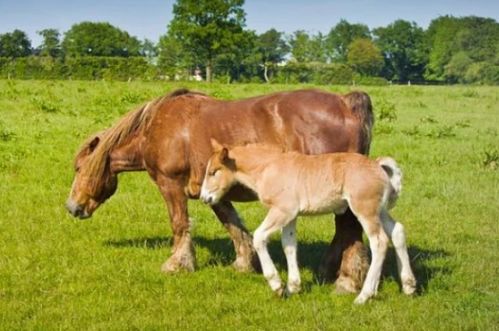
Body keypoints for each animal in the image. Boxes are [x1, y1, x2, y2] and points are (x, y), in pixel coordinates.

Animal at [64, 88, 374, 294]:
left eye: (78, 168)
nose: (72, 207)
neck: (158, 128)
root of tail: (344, 103)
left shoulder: (170, 184)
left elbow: (179, 223)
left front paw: (177, 264)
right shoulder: (214, 192)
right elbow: (233, 225)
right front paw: (244, 263)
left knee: (349, 228)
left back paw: (347, 281)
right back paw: (329, 270)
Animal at [200, 141, 418, 304]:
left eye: (214, 171)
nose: (204, 198)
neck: (269, 167)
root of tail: (377, 165)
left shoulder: (282, 210)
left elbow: (259, 237)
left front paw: (276, 284)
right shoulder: (290, 215)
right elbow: (289, 245)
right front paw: (293, 287)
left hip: (365, 209)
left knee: (379, 241)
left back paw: (364, 296)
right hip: (379, 210)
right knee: (397, 232)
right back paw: (409, 286)